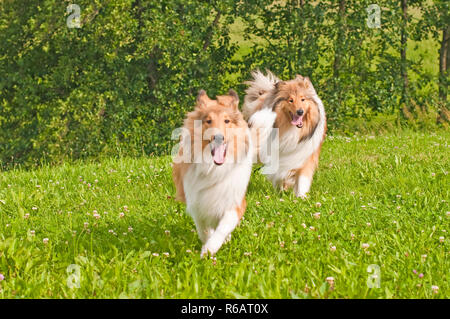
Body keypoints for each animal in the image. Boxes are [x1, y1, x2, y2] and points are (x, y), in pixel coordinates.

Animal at [172, 90, 251, 258]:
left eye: (227, 121)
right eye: (208, 121)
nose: (218, 137)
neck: (214, 168)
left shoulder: (234, 202)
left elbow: (223, 227)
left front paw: (210, 248)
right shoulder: (197, 204)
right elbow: (204, 230)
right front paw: (206, 248)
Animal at [244, 71, 326, 199]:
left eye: (303, 99)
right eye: (290, 100)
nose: (300, 112)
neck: (292, 129)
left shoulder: (306, 154)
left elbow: (302, 178)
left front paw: (301, 197)